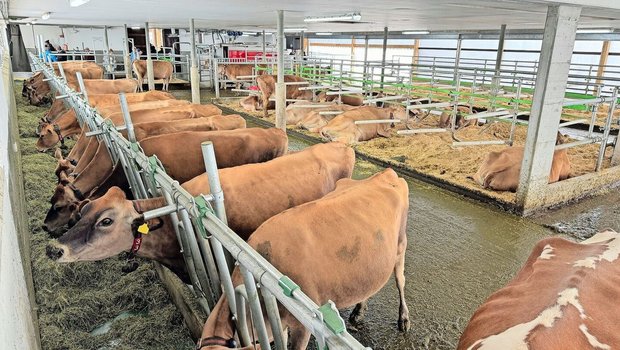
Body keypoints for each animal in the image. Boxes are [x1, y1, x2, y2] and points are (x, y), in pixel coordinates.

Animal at [200, 168, 412, 348]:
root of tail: (385, 173)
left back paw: (403, 319)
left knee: (400, 280)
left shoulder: (303, 322)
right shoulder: (278, 320)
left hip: (401, 244)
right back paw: (359, 312)